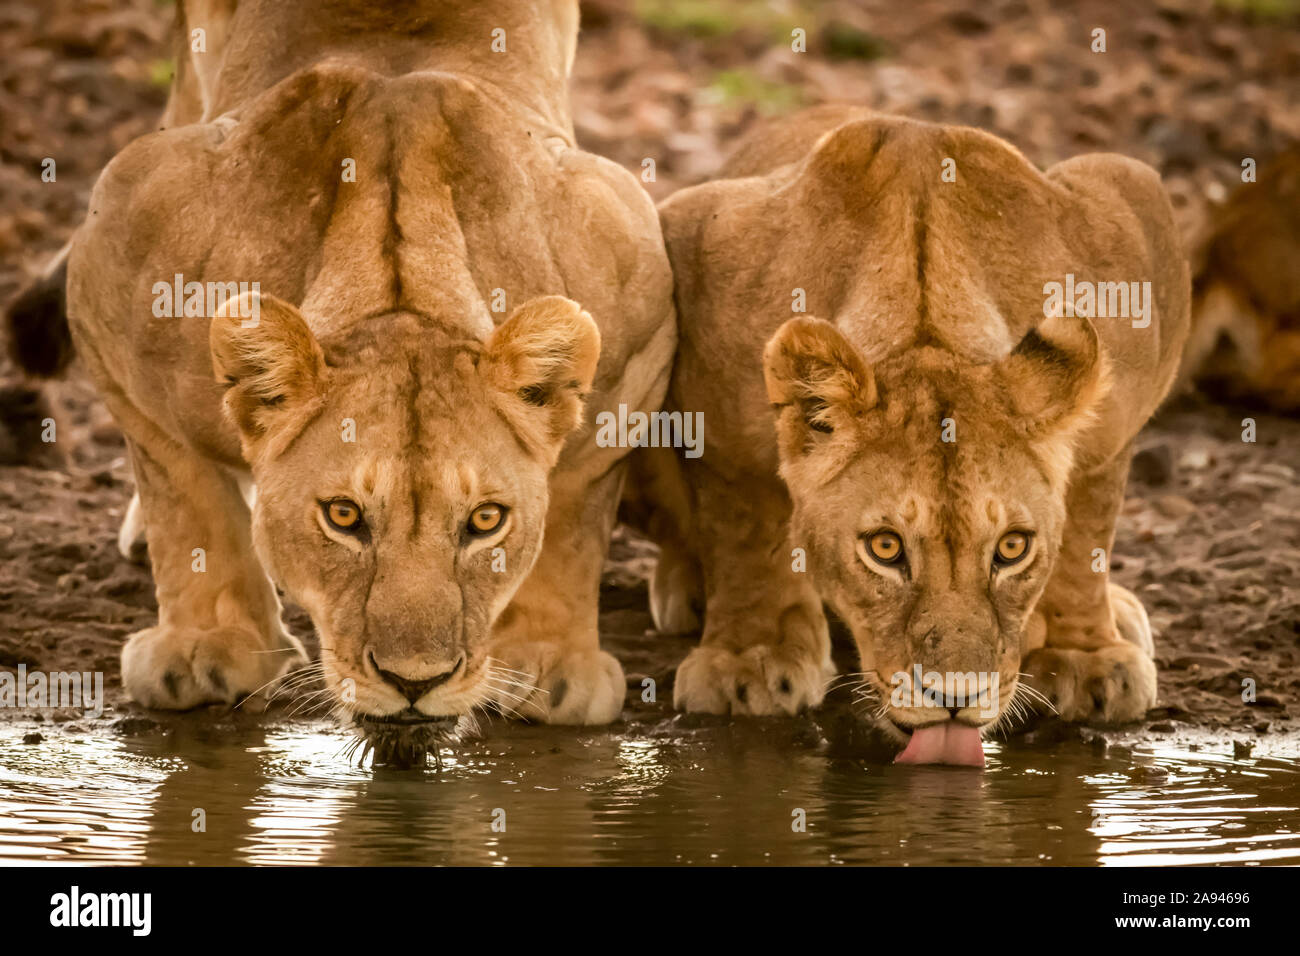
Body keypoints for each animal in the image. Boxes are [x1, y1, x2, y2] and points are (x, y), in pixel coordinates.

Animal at [634, 104, 1190, 764]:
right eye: (884, 547)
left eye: (1012, 547)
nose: (955, 695)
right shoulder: (700, 277)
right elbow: (743, 519)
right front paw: (751, 657)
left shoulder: (1131, 229)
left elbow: (1088, 520)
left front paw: (1084, 654)